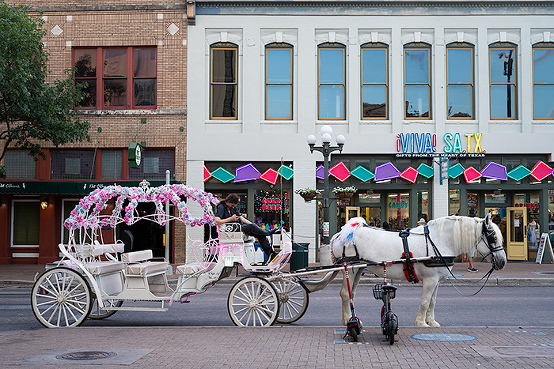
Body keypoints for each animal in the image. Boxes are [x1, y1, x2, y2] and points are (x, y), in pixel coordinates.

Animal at [328, 214, 504, 326]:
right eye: (493, 236)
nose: (502, 262)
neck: (439, 240)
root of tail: (340, 235)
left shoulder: (436, 281)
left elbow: (432, 301)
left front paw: (431, 322)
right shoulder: (430, 280)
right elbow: (425, 301)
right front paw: (421, 323)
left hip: (358, 270)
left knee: (351, 293)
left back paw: (350, 319)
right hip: (350, 269)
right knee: (345, 294)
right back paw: (348, 320)